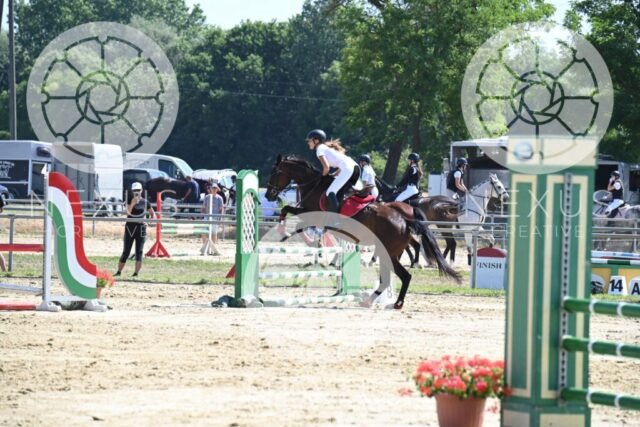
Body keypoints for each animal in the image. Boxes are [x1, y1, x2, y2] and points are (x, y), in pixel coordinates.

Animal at [265, 155, 462, 309]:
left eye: (275, 172)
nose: (268, 195)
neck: (315, 185)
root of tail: (404, 219)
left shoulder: (312, 214)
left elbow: (292, 215)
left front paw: (284, 232)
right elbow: (294, 217)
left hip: (389, 251)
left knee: (404, 275)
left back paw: (396, 302)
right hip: (389, 251)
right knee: (391, 275)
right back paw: (371, 300)